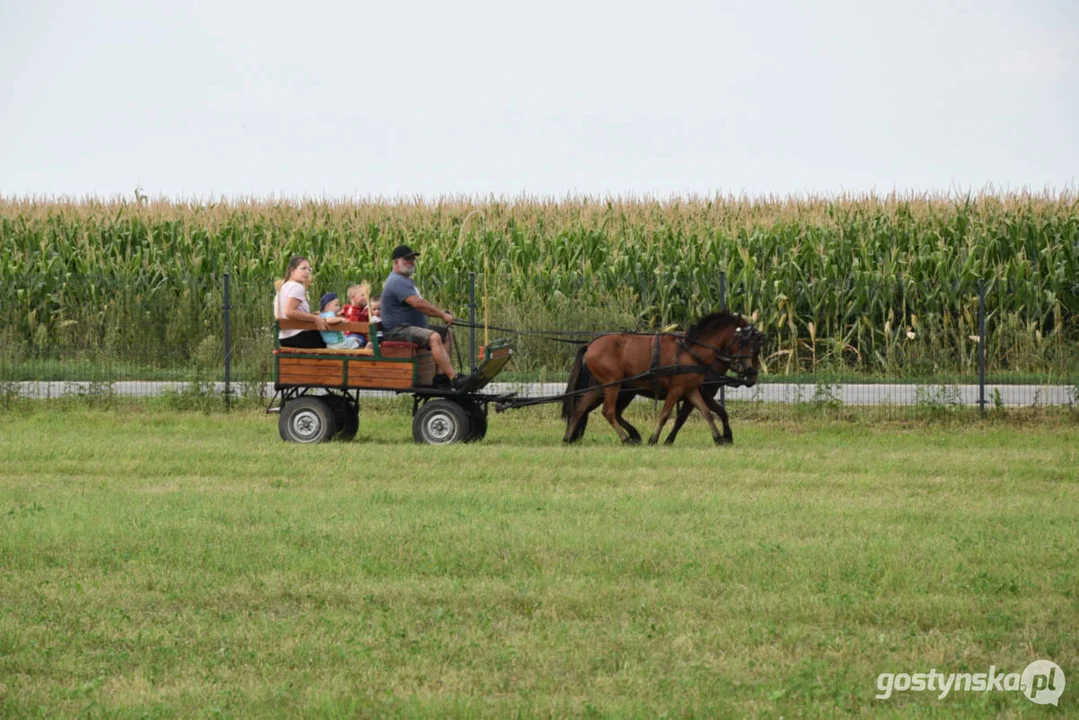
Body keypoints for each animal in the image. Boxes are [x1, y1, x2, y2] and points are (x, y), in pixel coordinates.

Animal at [561, 310, 763, 444]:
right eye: (747, 342)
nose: (751, 373)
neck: (691, 350)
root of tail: (590, 344)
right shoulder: (678, 389)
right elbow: (667, 414)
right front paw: (656, 439)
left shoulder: (690, 390)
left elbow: (706, 413)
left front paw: (719, 438)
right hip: (613, 385)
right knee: (608, 411)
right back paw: (626, 438)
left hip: (601, 387)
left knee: (580, 408)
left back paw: (569, 438)